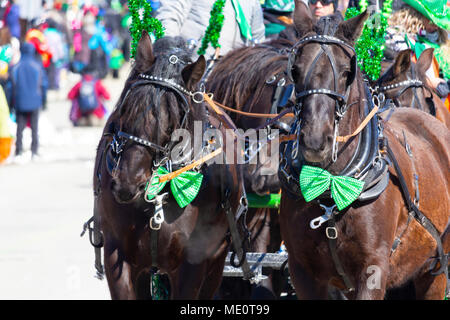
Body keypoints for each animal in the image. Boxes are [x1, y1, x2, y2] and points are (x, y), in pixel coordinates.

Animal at [92, 31, 246, 298]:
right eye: (125, 108)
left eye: (174, 119)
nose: (127, 183)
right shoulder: (117, 255)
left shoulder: (193, 263)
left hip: (216, 261)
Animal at [280, 3, 448, 300]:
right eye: (295, 71)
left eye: (347, 72)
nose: (314, 142)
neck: (330, 188)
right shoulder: (302, 272)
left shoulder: (373, 269)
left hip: (435, 269)